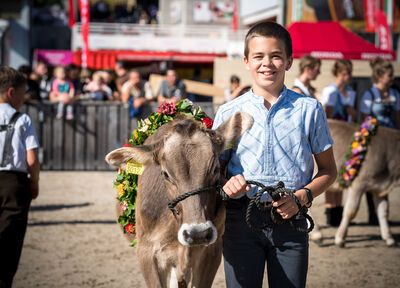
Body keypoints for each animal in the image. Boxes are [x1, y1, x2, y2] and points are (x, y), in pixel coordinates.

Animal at [312, 119, 400, 248]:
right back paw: (317, 235)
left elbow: (383, 211)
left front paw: (389, 238)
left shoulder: (379, 188)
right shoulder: (359, 183)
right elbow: (351, 210)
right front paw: (340, 238)